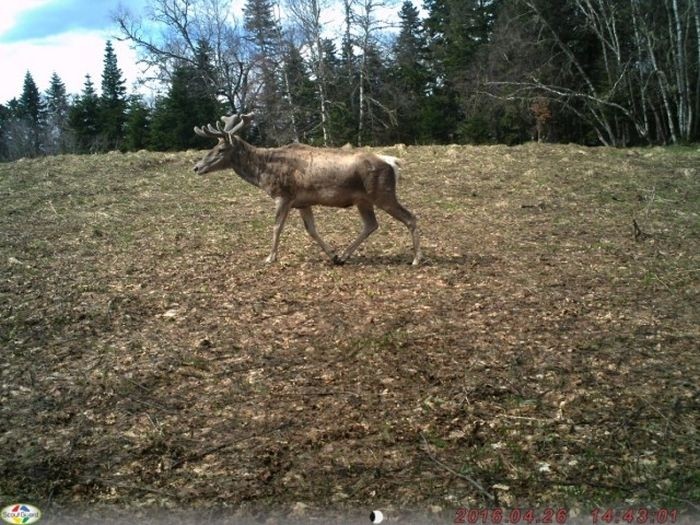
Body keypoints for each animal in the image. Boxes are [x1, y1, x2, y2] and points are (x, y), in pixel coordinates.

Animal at [191, 112, 422, 264]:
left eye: (221, 149)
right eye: (213, 146)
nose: (197, 167)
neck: (264, 172)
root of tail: (392, 162)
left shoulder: (283, 195)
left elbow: (277, 227)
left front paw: (269, 257)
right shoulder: (302, 202)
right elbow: (311, 230)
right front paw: (332, 254)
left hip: (383, 193)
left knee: (410, 217)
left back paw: (416, 259)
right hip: (363, 200)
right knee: (371, 224)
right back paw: (344, 255)